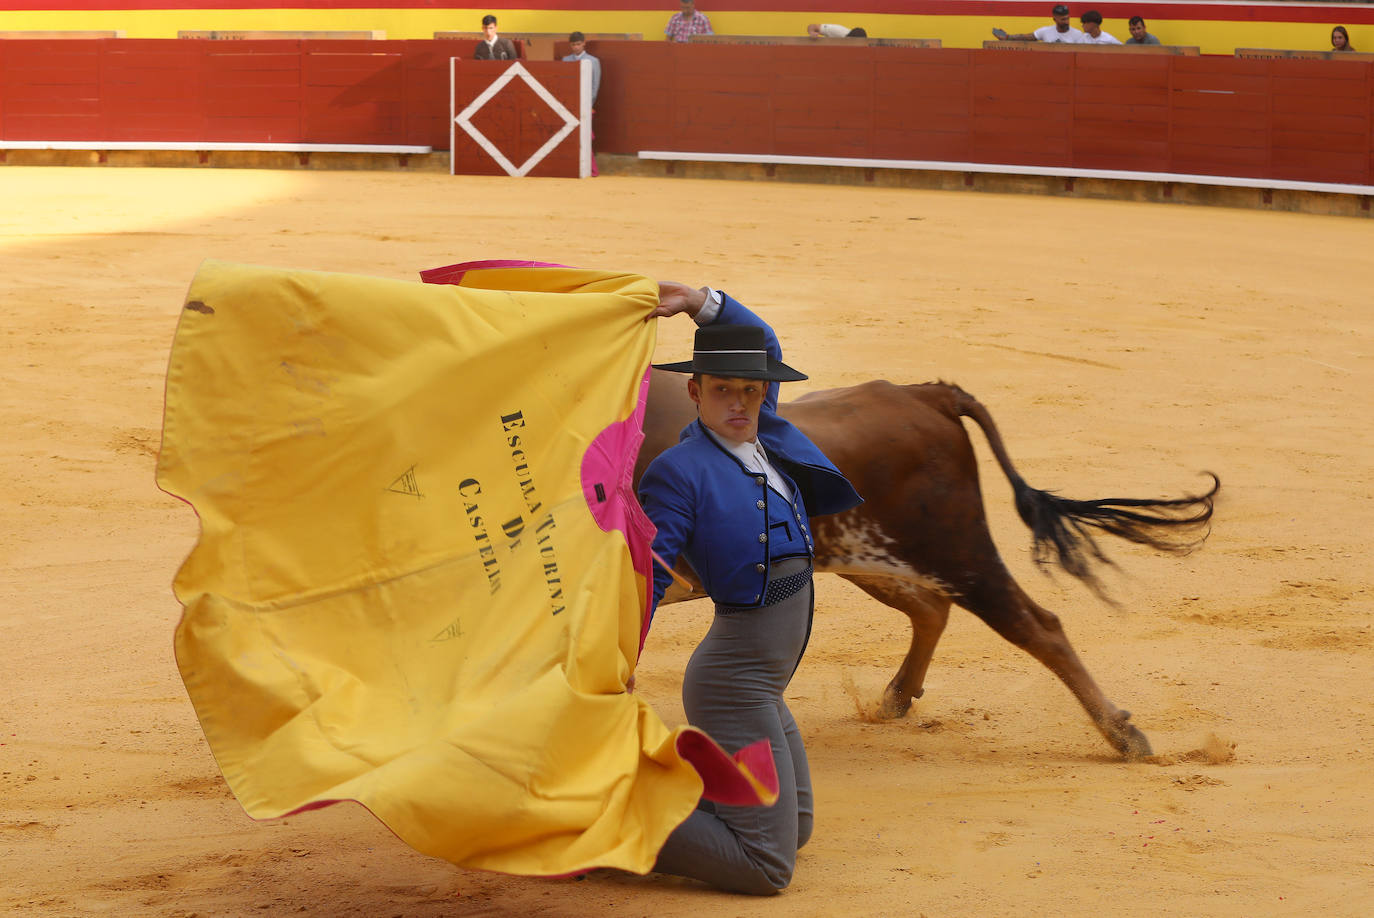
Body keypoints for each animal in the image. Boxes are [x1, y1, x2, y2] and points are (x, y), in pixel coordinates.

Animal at [637, 371, 1220, 758]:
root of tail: (925, 394)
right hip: (869, 555)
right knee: (932, 609)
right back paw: (896, 699)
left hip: (955, 549)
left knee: (1036, 625)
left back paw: (1124, 736)